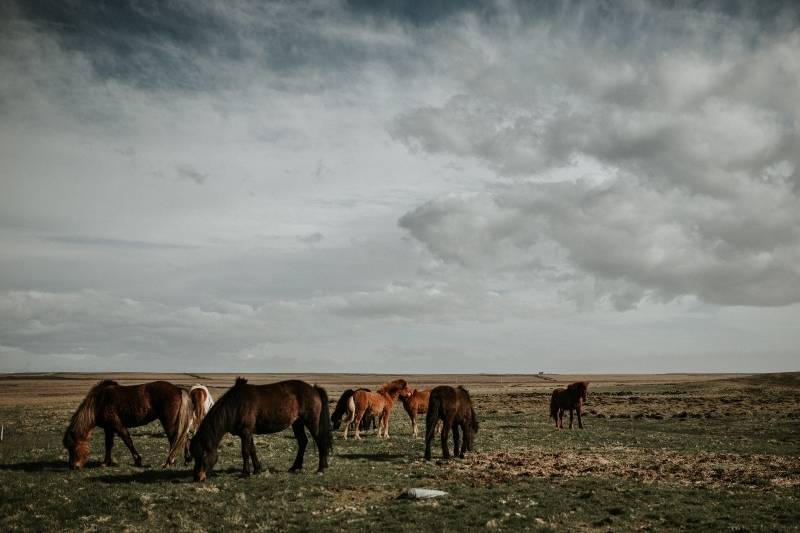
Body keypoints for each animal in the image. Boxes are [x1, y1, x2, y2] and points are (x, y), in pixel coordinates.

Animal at [63, 378, 193, 470]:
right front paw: (106, 462)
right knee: (184, 438)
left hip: (169, 422)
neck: (99, 402)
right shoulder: (109, 428)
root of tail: (178, 389)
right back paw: (186, 460)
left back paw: (169, 462)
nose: (73, 467)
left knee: (174, 439)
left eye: (73, 447)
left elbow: (128, 441)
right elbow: (108, 444)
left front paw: (137, 460)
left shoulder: (118, 426)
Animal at [190, 376, 332, 480]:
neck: (235, 405)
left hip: (311, 422)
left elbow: (245, 451)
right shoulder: (247, 433)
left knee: (319, 441)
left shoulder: (246, 431)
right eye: (194, 455)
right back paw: (295, 467)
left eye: (203, 453)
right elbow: (252, 450)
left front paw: (245, 473)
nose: (197, 477)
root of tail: (314, 389)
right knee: (303, 441)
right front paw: (257, 469)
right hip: (297, 423)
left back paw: (321, 468)